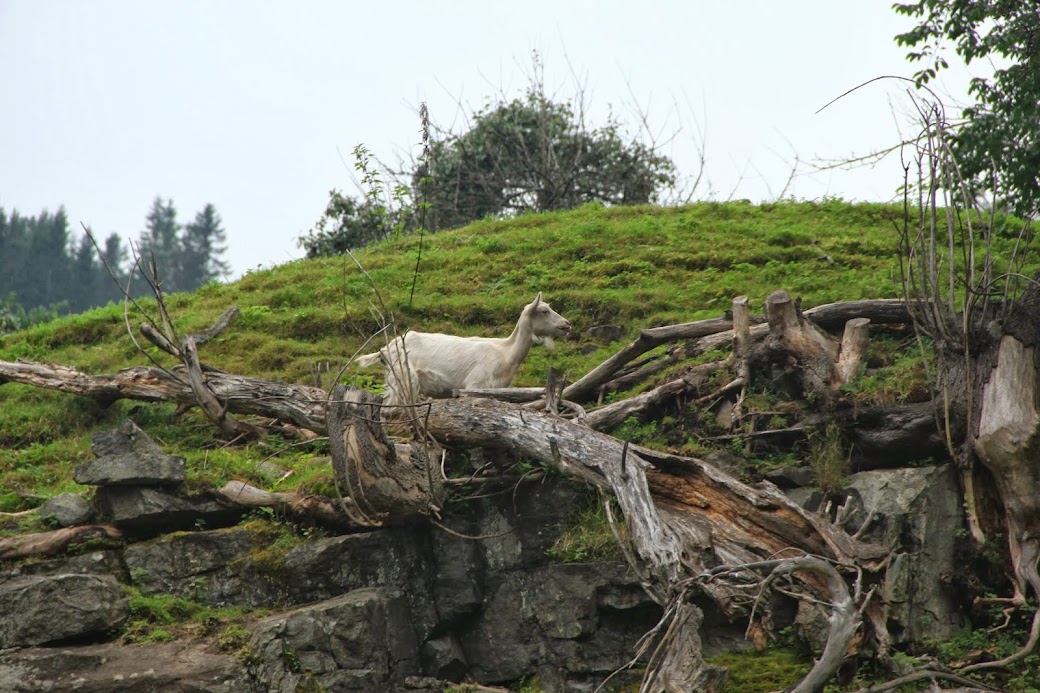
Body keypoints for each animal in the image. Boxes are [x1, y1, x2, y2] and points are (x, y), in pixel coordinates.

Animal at [355, 289, 569, 407]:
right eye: (544, 311)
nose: (567, 324)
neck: (506, 352)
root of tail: (386, 349)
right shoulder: (476, 384)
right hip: (402, 377)